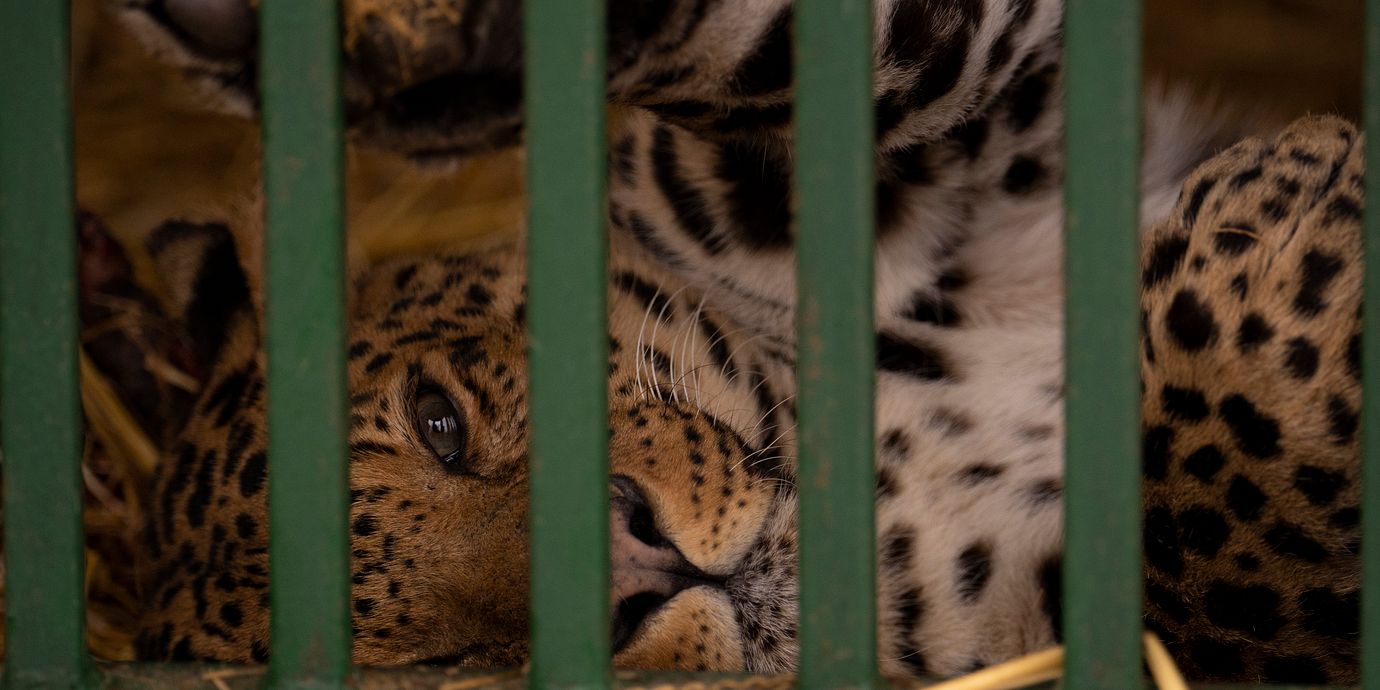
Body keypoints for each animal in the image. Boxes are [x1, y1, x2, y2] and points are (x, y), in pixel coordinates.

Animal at [104, 0, 1364, 683]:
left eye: (439, 421)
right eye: (449, 666)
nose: (636, 577)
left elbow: (793, 56)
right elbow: (1206, 559)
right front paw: (1294, 237)